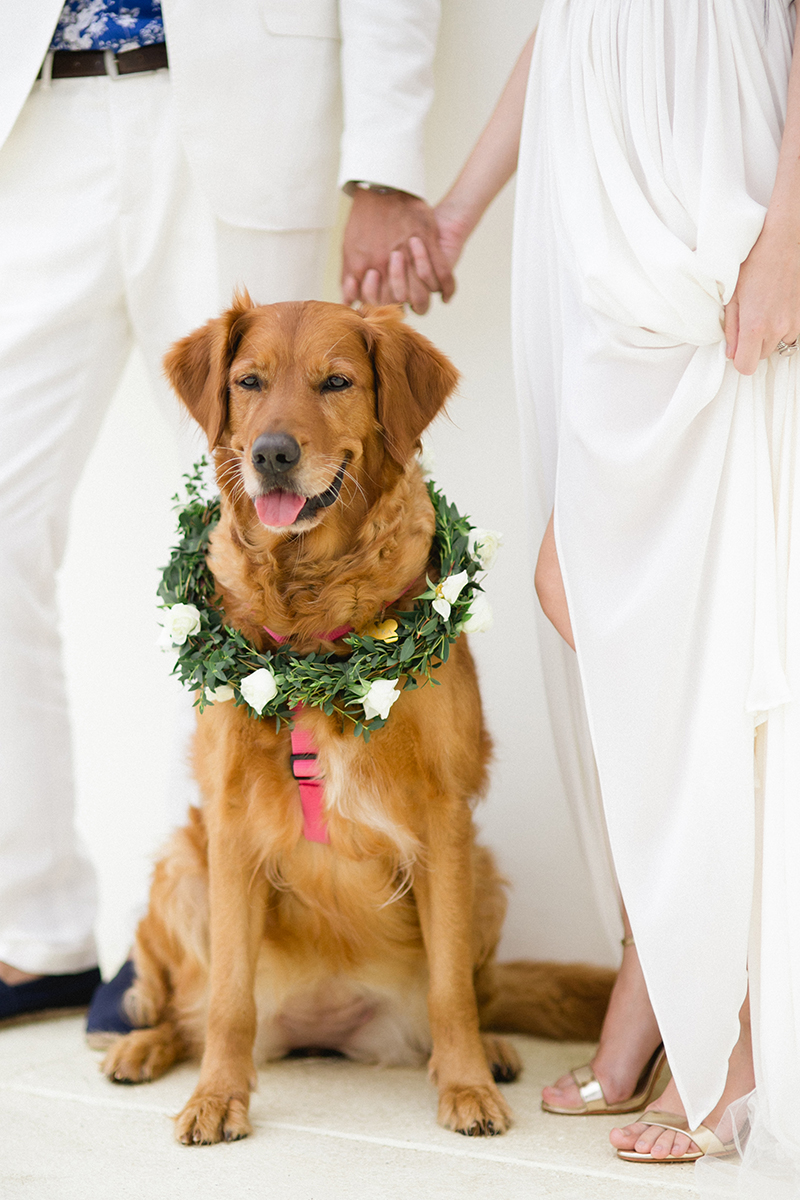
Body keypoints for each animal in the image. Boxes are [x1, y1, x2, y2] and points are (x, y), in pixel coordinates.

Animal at [101, 297, 614, 1142]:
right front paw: (217, 1096)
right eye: (249, 382)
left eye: (336, 382)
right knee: (191, 1008)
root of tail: (323, 1026)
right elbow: (229, 997)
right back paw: (144, 1046)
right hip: (182, 864)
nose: (273, 454)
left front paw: (466, 1086)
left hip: (484, 874)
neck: (314, 629)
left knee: (476, 992)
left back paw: (490, 1049)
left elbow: (451, 987)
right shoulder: (229, 820)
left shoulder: (444, 815)